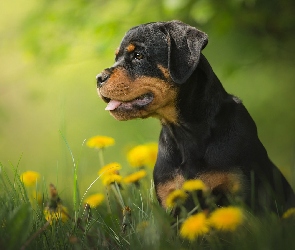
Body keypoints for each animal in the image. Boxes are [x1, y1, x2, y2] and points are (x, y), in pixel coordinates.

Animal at [96, 20, 294, 214]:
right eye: (116, 58)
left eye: (138, 55)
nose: (98, 78)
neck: (186, 132)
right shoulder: (171, 200)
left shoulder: (243, 193)